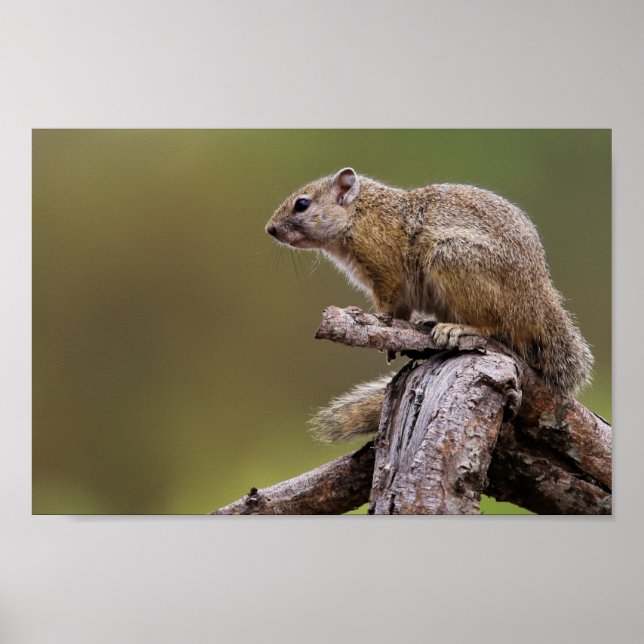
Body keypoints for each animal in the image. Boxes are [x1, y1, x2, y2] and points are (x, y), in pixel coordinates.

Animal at [265, 167, 593, 442]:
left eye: (302, 204)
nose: (270, 229)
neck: (359, 213)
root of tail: (536, 301)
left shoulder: (386, 267)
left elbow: (388, 305)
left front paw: (375, 320)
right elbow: (401, 312)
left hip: (454, 259)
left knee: (493, 325)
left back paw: (457, 328)